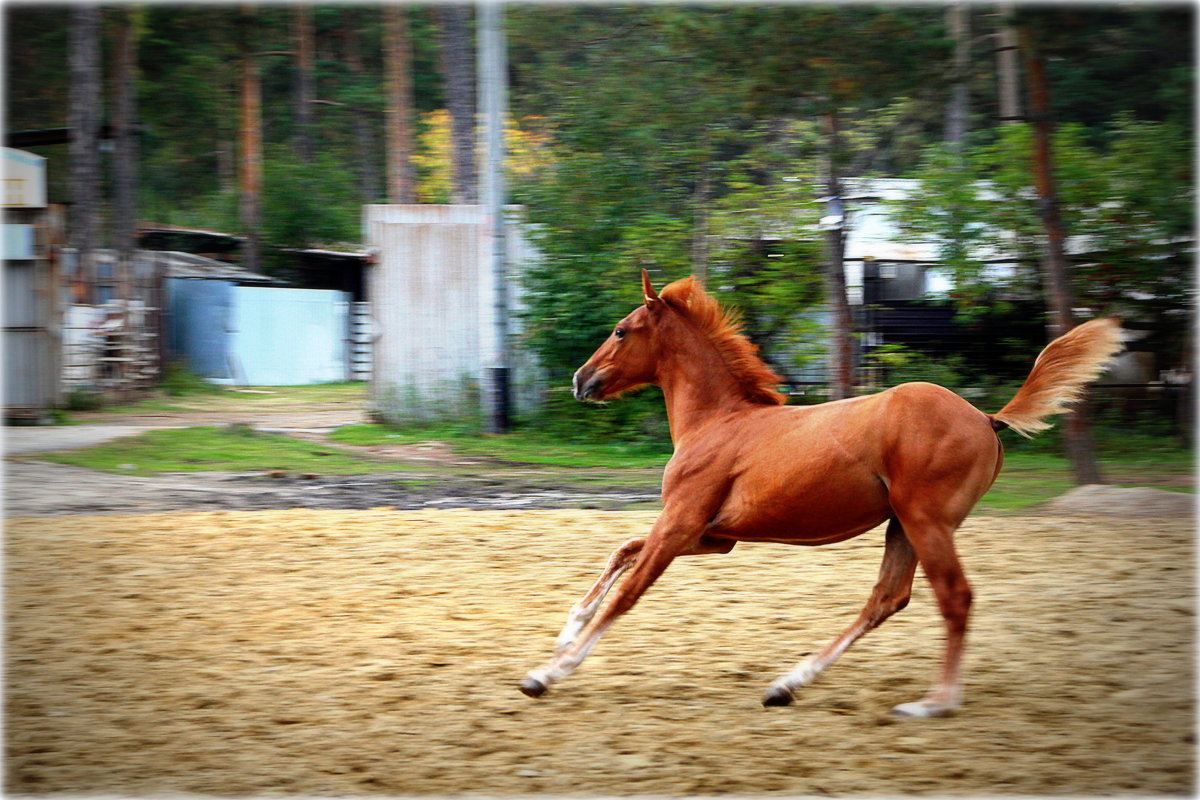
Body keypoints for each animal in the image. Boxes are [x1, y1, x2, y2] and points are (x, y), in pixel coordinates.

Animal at [518, 272, 1123, 714]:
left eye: (622, 330)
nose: (580, 380)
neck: (717, 421)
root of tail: (985, 417)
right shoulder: (711, 535)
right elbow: (622, 550)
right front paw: (566, 632)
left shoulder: (682, 524)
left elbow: (628, 592)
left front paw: (548, 672)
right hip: (903, 524)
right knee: (886, 599)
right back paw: (786, 684)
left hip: (926, 521)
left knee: (953, 598)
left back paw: (935, 702)